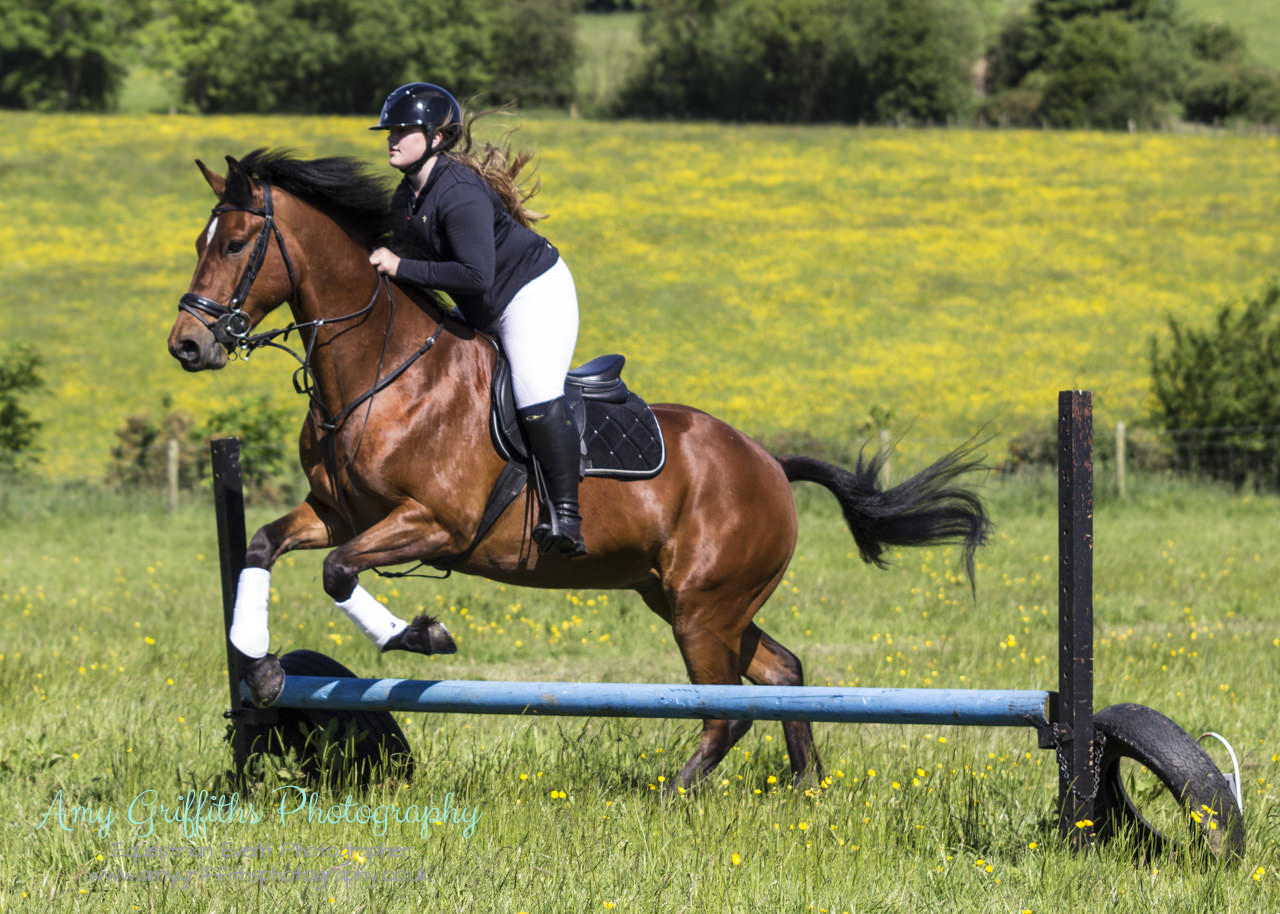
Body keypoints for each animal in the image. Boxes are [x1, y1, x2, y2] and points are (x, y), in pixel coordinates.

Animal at [167, 147, 988, 783]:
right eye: (201, 241)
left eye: (235, 244)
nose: (187, 345)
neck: (383, 372)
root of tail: (768, 464)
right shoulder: (340, 513)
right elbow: (264, 545)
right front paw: (261, 667)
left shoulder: (435, 524)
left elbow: (338, 572)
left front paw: (419, 635)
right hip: (692, 601)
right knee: (781, 676)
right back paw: (805, 787)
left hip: (702, 611)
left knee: (725, 715)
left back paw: (673, 794)